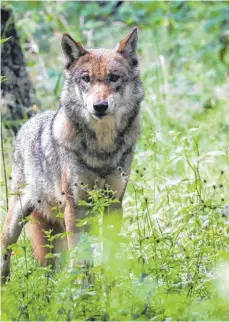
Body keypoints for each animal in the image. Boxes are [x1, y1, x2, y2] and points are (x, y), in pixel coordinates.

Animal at [1, 28, 143, 284]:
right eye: (86, 78)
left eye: (113, 78)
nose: (100, 106)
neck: (102, 148)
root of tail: (26, 125)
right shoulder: (76, 207)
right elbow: (82, 259)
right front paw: (85, 291)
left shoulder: (113, 204)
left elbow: (110, 254)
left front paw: (113, 289)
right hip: (17, 220)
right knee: (6, 251)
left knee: (51, 272)